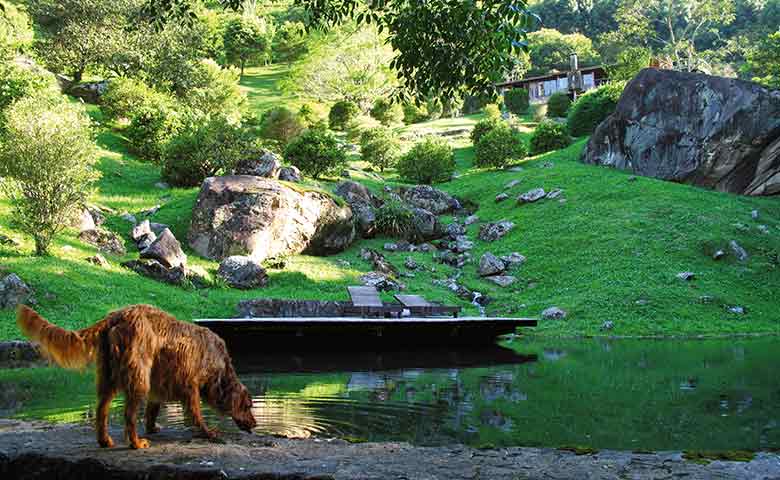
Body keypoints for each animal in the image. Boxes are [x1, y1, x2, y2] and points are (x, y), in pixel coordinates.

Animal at [16, 306, 256, 448]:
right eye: (248, 406)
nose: (254, 424)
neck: (220, 367)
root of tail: (115, 316)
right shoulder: (190, 385)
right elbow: (196, 414)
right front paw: (209, 432)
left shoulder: (160, 382)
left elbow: (152, 409)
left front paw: (152, 427)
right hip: (138, 376)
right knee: (129, 415)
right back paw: (136, 443)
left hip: (109, 376)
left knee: (101, 410)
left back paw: (105, 440)